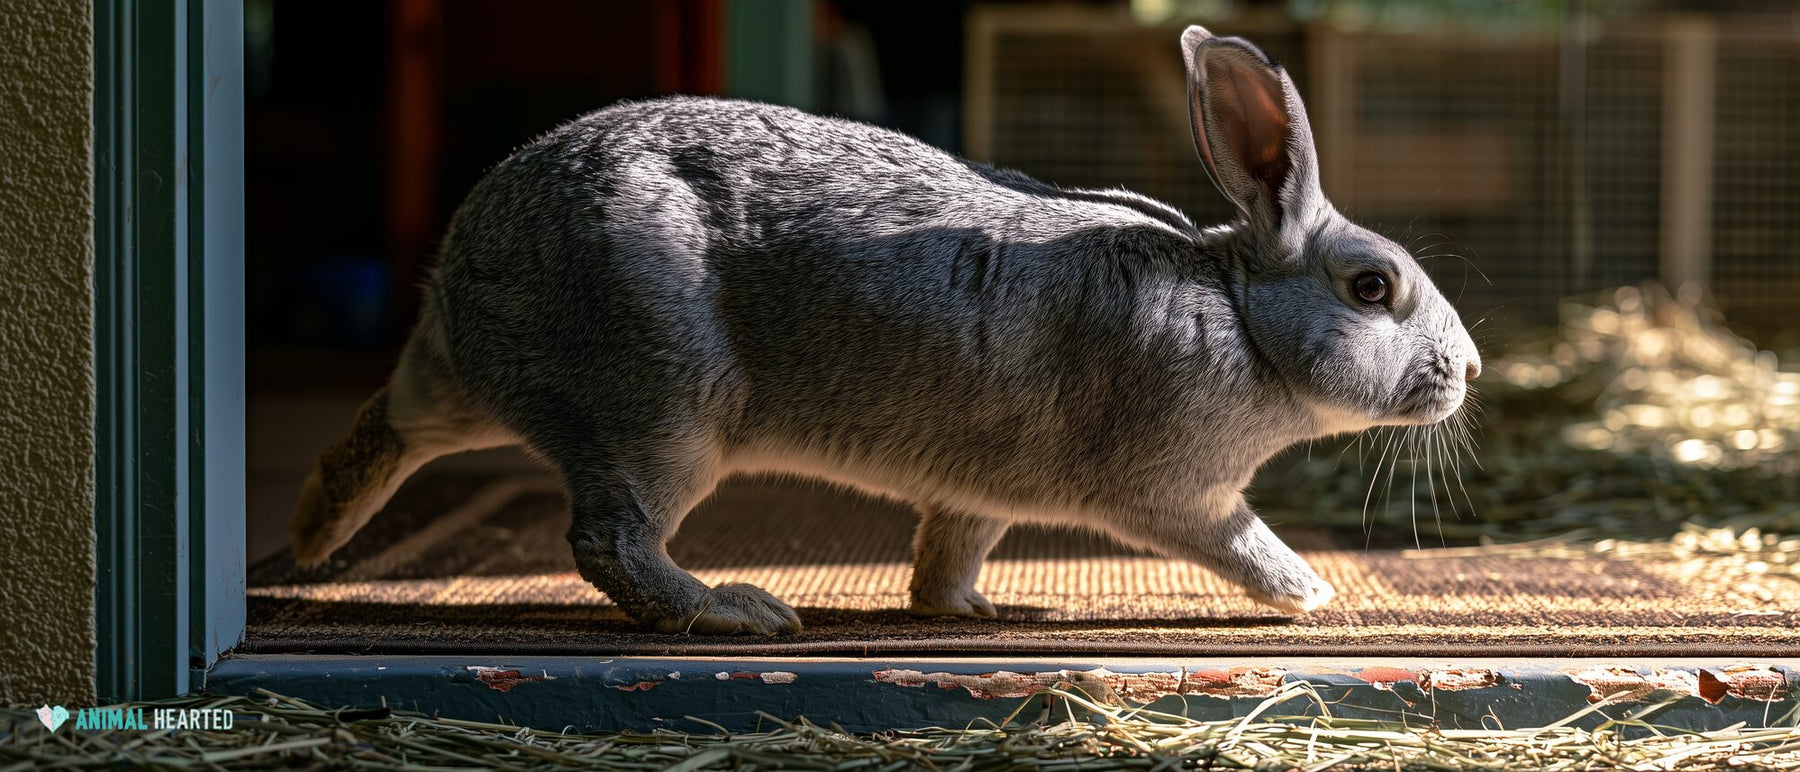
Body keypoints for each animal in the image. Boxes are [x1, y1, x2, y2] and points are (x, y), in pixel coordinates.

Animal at [290, 25, 1481, 635]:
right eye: (1372, 287)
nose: (1467, 368)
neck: (1240, 314)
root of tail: (470, 264)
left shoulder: (979, 490)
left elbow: (949, 545)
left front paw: (977, 607)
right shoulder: (1177, 493)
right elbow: (1238, 541)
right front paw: (1311, 593)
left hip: (472, 391)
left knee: (390, 430)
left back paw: (309, 539)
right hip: (660, 415)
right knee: (610, 538)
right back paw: (740, 614)